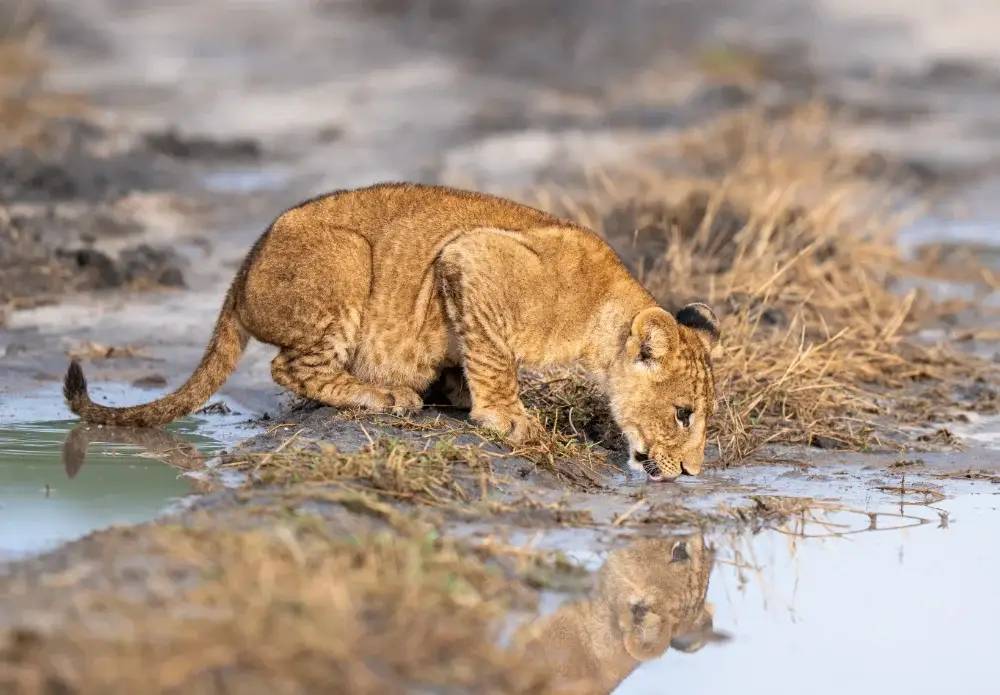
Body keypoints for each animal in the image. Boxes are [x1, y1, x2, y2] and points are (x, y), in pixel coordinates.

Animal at [62, 182, 720, 480]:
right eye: (683, 414)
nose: (693, 473)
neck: (602, 309)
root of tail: (243, 269)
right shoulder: (471, 257)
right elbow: (495, 360)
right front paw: (508, 419)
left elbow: (466, 353)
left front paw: (453, 389)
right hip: (348, 258)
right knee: (289, 366)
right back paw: (384, 394)